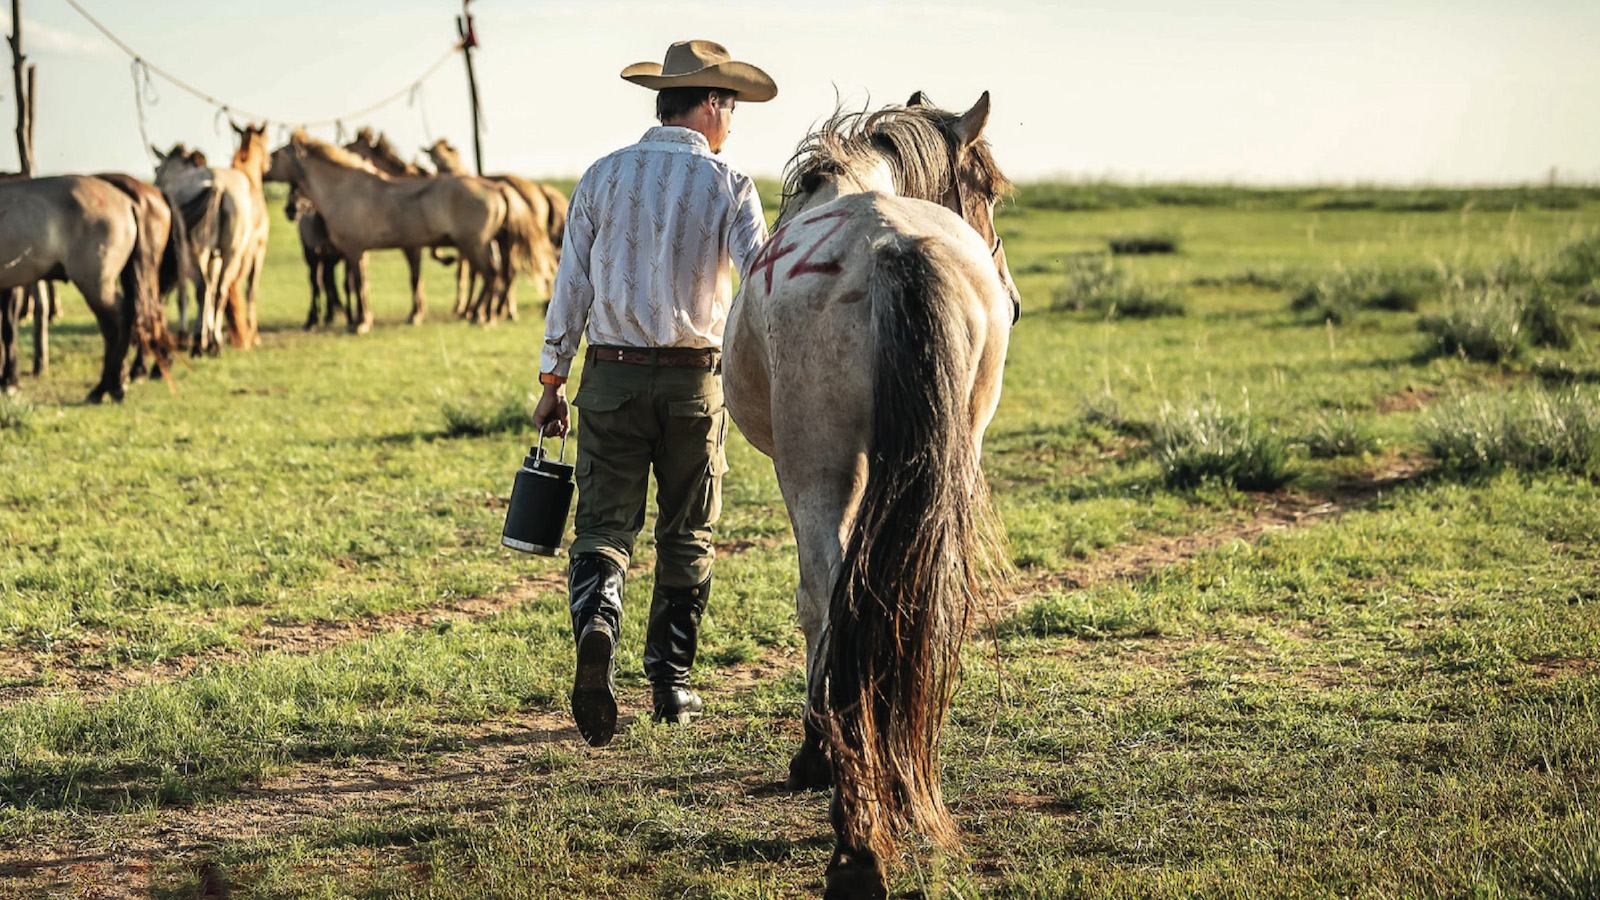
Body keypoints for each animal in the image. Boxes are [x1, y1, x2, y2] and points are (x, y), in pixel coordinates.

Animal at [0, 175, 172, 401]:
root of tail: (127, 202)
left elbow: (7, 332)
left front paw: (9, 381)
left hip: (95, 284)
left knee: (117, 323)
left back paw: (108, 387)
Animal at [265, 132, 535, 333]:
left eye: (276, 154)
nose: (263, 166)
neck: (346, 188)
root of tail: (497, 187)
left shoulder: (355, 249)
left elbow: (360, 284)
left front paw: (361, 323)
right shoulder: (360, 252)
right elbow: (362, 283)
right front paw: (362, 319)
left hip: (474, 244)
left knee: (491, 274)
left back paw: (480, 315)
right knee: (495, 275)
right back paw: (486, 314)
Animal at [722, 92, 1018, 899]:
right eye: (987, 189)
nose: (1014, 299)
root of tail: (891, 246)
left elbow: (821, 604)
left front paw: (816, 753)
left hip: (817, 467)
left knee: (828, 595)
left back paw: (855, 840)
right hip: (943, 465)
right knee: (919, 600)